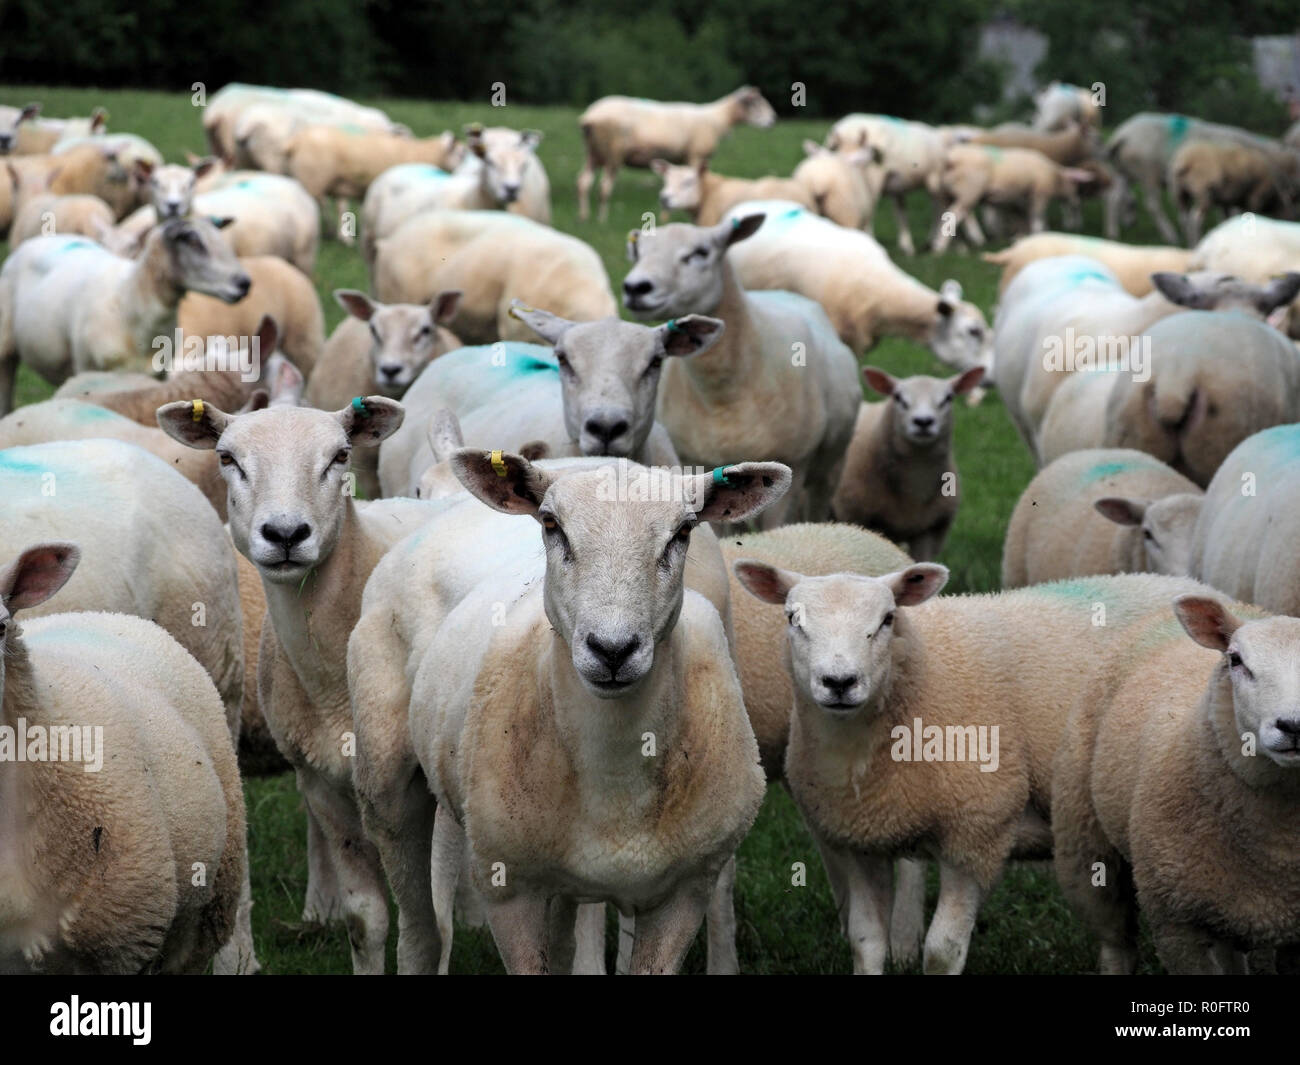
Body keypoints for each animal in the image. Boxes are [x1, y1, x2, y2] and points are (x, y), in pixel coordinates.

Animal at [577, 86, 777, 222]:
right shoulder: (696, 155)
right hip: (613, 154)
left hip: (593, 153)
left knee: (583, 182)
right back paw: (602, 219)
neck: (717, 119)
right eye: (757, 103)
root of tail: (590, 117)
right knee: (604, 187)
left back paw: (584, 217)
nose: (773, 120)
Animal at [622, 213, 860, 526]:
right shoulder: (700, 466)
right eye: (638, 252)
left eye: (701, 253)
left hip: (832, 465)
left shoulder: (794, 468)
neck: (723, 391)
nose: (635, 288)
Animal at [733, 564, 1210, 973]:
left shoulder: (977, 831)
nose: (839, 682)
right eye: (792, 618)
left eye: (887, 619)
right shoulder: (859, 841)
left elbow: (942, 951)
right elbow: (866, 942)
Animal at [824, 114, 957, 256]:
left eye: (858, 160)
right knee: (903, 210)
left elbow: (870, 208)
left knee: (938, 208)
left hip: (935, 179)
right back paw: (909, 247)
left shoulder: (875, 178)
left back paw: (933, 244)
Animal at [930, 145, 1096, 254]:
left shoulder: (1015, 200)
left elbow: (1020, 217)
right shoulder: (1039, 194)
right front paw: (1037, 234)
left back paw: (961, 245)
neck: (1056, 178)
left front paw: (1020, 236)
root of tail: (950, 159)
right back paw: (942, 247)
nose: (1076, 203)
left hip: (946, 194)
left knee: (951, 215)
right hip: (970, 190)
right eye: (1077, 187)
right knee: (957, 214)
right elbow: (1037, 217)